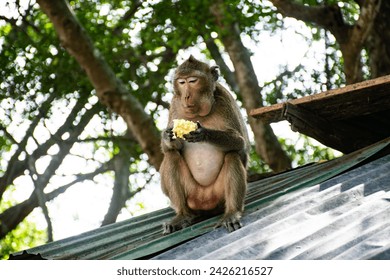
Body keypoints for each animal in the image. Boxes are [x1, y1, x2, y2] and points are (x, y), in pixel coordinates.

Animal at [159, 54, 248, 234]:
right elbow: (169, 149)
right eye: (181, 82)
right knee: (171, 156)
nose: (186, 96)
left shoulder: (224, 99)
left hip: (218, 196)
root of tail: (205, 202)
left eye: (193, 81)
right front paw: (168, 136)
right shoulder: (175, 103)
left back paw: (232, 213)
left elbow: (240, 143)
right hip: (192, 196)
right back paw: (182, 216)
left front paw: (204, 133)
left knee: (232, 155)